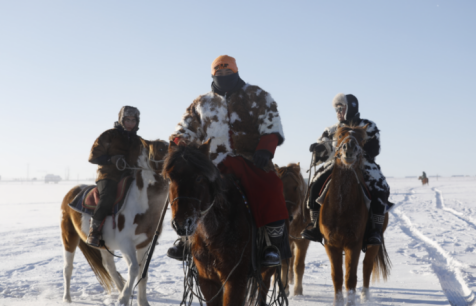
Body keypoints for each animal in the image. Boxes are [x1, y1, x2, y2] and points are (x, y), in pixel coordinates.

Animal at [59, 140, 168, 306]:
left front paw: (142, 301)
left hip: (103, 244)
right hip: (69, 237)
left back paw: (121, 288)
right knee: (68, 268)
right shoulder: (125, 244)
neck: (141, 202)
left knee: (108, 265)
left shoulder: (144, 245)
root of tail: (72, 192)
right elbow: (134, 268)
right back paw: (67, 298)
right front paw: (123, 299)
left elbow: (142, 273)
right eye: (161, 148)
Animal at [164, 141, 278, 306]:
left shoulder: (235, 280)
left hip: (266, 270)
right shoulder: (208, 280)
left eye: (199, 178)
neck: (215, 232)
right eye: (170, 179)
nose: (181, 223)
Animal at [274, 162, 310, 298]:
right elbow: (284, 262)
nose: (287, 217)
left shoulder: (302, 241)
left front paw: (298, 291)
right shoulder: (286, 241)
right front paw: (284, 289)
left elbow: (298, 265)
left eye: (296, 187)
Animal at [320, 125, 390, 306]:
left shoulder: (354, 244)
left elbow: (350, 277)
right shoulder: (332, 244)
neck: (341, 207)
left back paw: (365, 296)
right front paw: (338, 302)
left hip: (374, 242)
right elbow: (337, 276)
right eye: (339, 135)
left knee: (367, 266)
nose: (349, 147)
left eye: (361, 139)